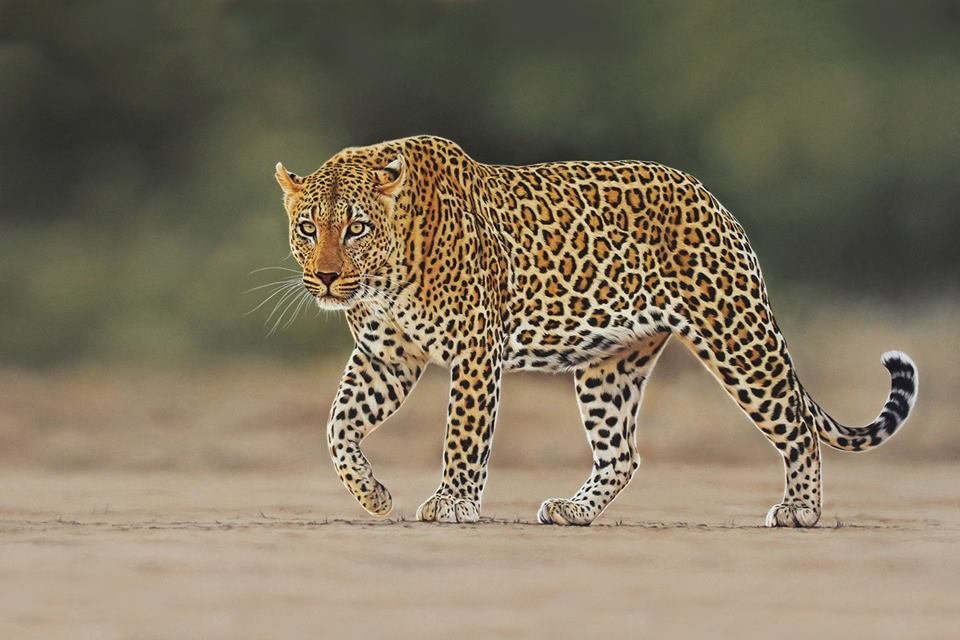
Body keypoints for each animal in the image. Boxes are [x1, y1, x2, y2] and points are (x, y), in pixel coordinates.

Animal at [273, 134, 918, 527]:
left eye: (355, 228)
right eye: (307, 228)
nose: (325, 277)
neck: (388, 273)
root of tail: (713, 199)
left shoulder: (475, 350)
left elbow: (463, 434)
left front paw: (453, 502)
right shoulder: (387, 357)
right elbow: (338, 426)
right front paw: (372, 494)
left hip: (737, 336)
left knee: (798, 425)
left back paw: (801, 510)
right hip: (611, 364)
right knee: (622, 453)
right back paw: (574, 510)